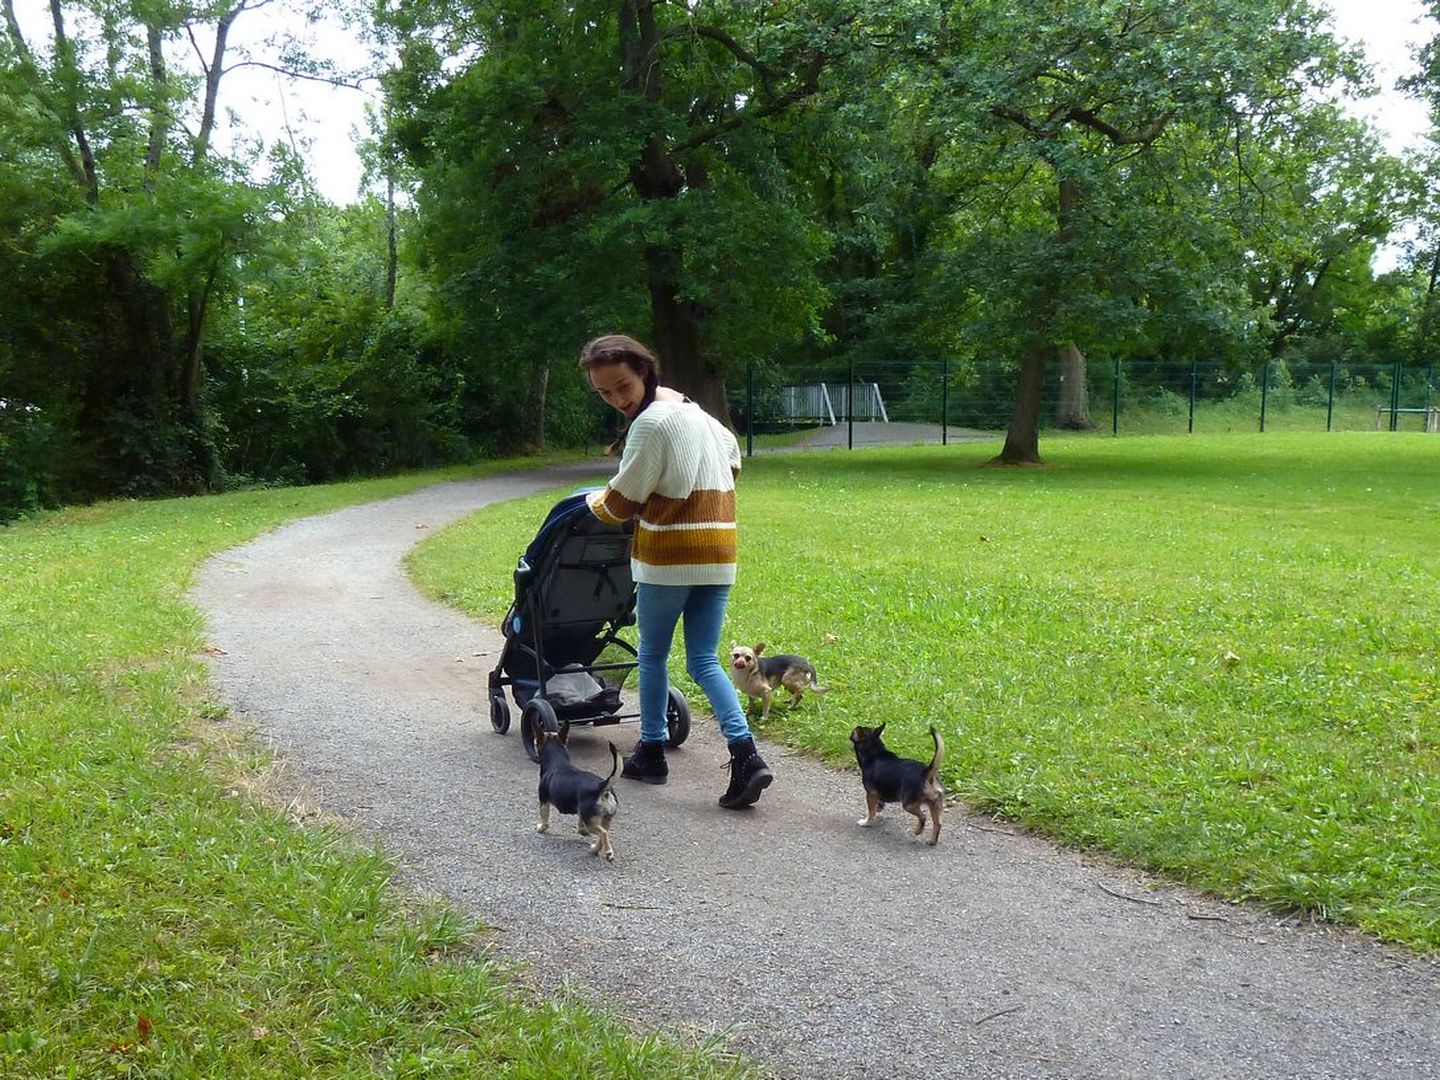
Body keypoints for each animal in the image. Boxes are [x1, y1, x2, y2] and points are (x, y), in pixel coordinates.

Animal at [532, 728, 616, 864]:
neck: (558, 763)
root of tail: (602, 786)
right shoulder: (581, 812)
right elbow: (580, 822)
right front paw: (581, 831)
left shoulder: (543, 802)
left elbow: (545, 820)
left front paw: (541, 828)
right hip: (605, 819)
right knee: (604, 834)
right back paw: (595, 849)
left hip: (591, 822)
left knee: (603, 833)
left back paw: (608, 851)